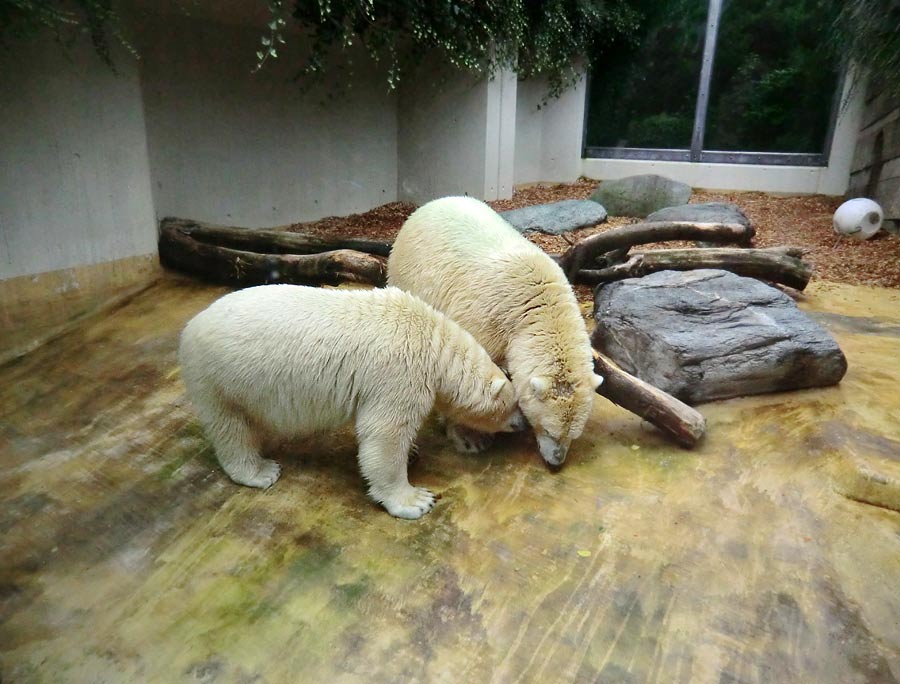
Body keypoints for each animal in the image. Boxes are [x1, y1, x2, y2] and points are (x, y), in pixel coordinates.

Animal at [178, 284, 524, 520]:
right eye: (513, 405)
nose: (522, 424)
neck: (435, 343)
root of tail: (190, 327)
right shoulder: (400, 373)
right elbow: (384, 435)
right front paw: (415, 499)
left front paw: (412, 453)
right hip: (220, 377)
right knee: (231, 428)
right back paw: (261, 471)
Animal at [388, 195, 604, 468]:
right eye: (548, 429)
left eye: (573, 434)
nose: (556, 462)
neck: (535, 306)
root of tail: (433, 203)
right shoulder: (484, 320)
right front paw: (471, 437)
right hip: (408, 273)